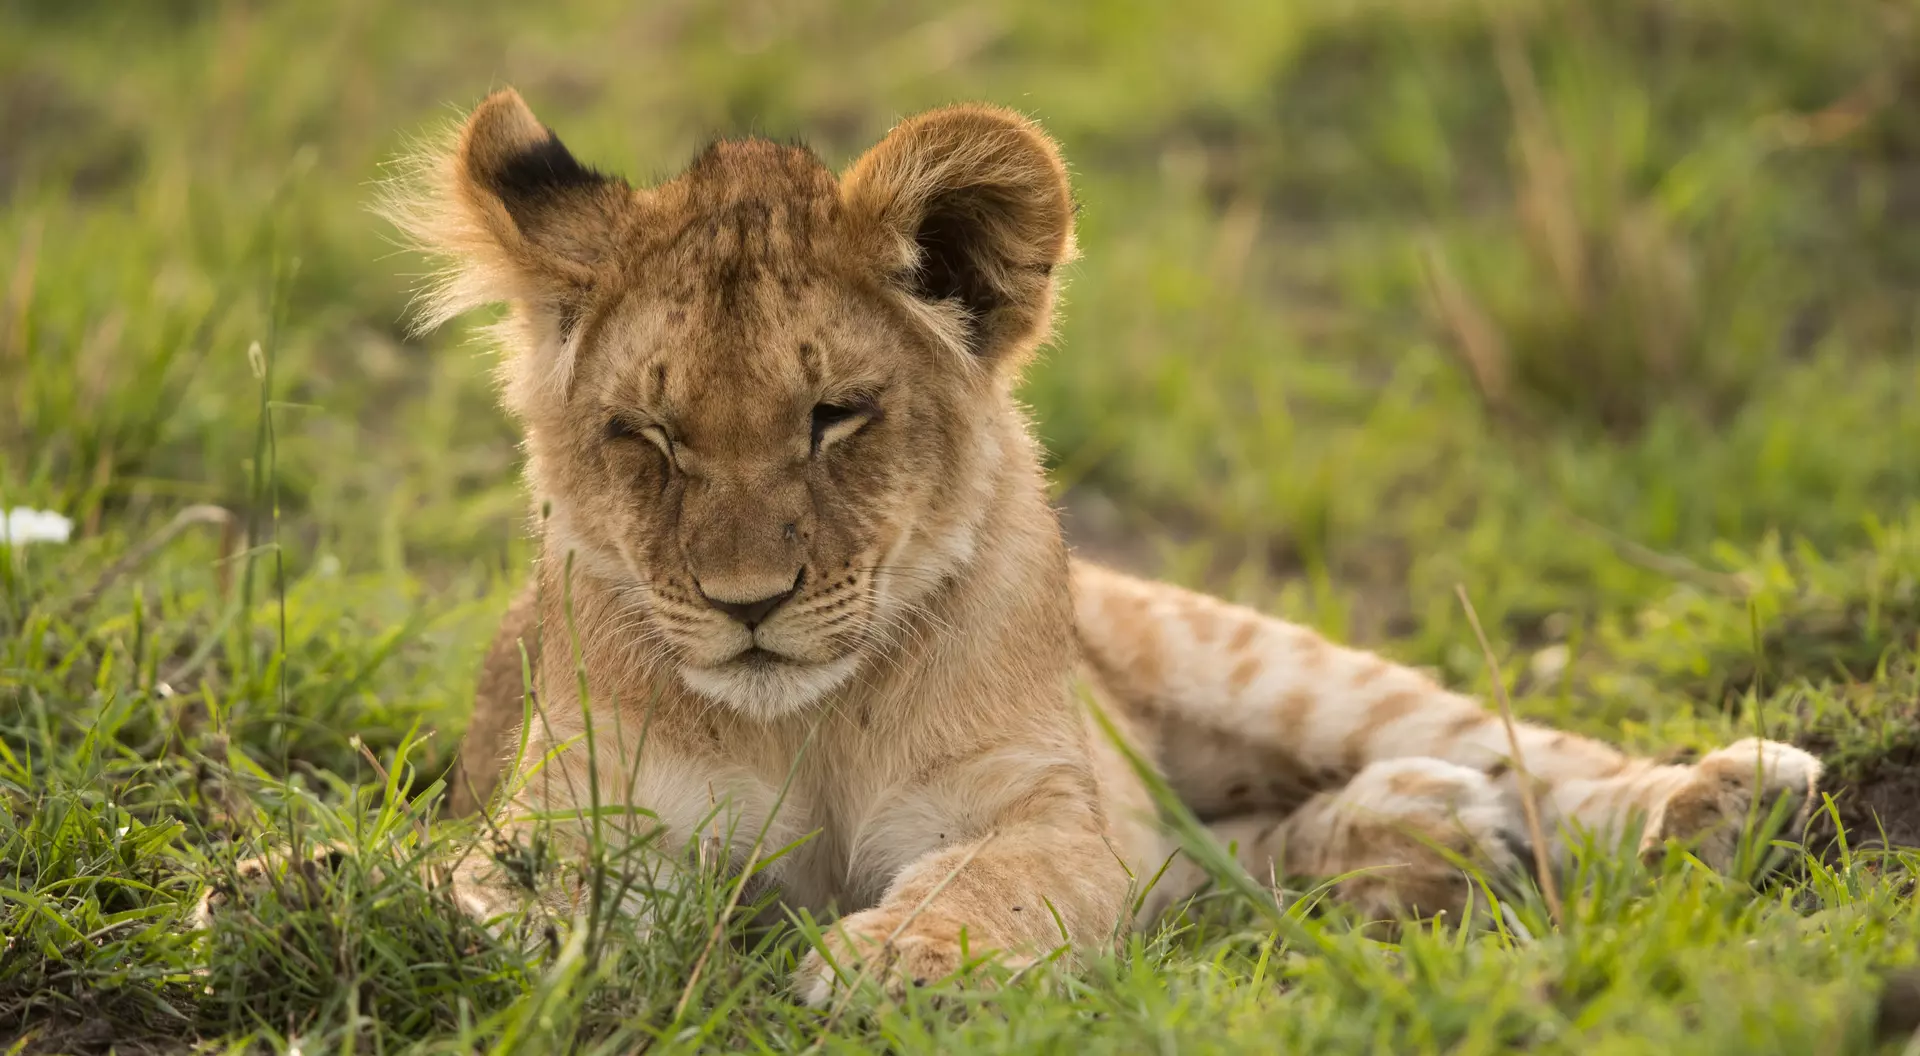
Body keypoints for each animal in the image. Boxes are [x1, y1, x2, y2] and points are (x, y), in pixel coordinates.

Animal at [390, 89, 1823, 1002]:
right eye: (649, 434)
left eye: (834, 416)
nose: (749, 604)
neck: (804, 720)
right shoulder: (591, 819)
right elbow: (491, 887)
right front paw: (416, 910)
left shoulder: (1040, 807)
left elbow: (997, 878)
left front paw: (899, 961)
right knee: (1229, 860)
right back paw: (1419, 838)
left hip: (1255, 662)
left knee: (1519, 747)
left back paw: (1720, 797)